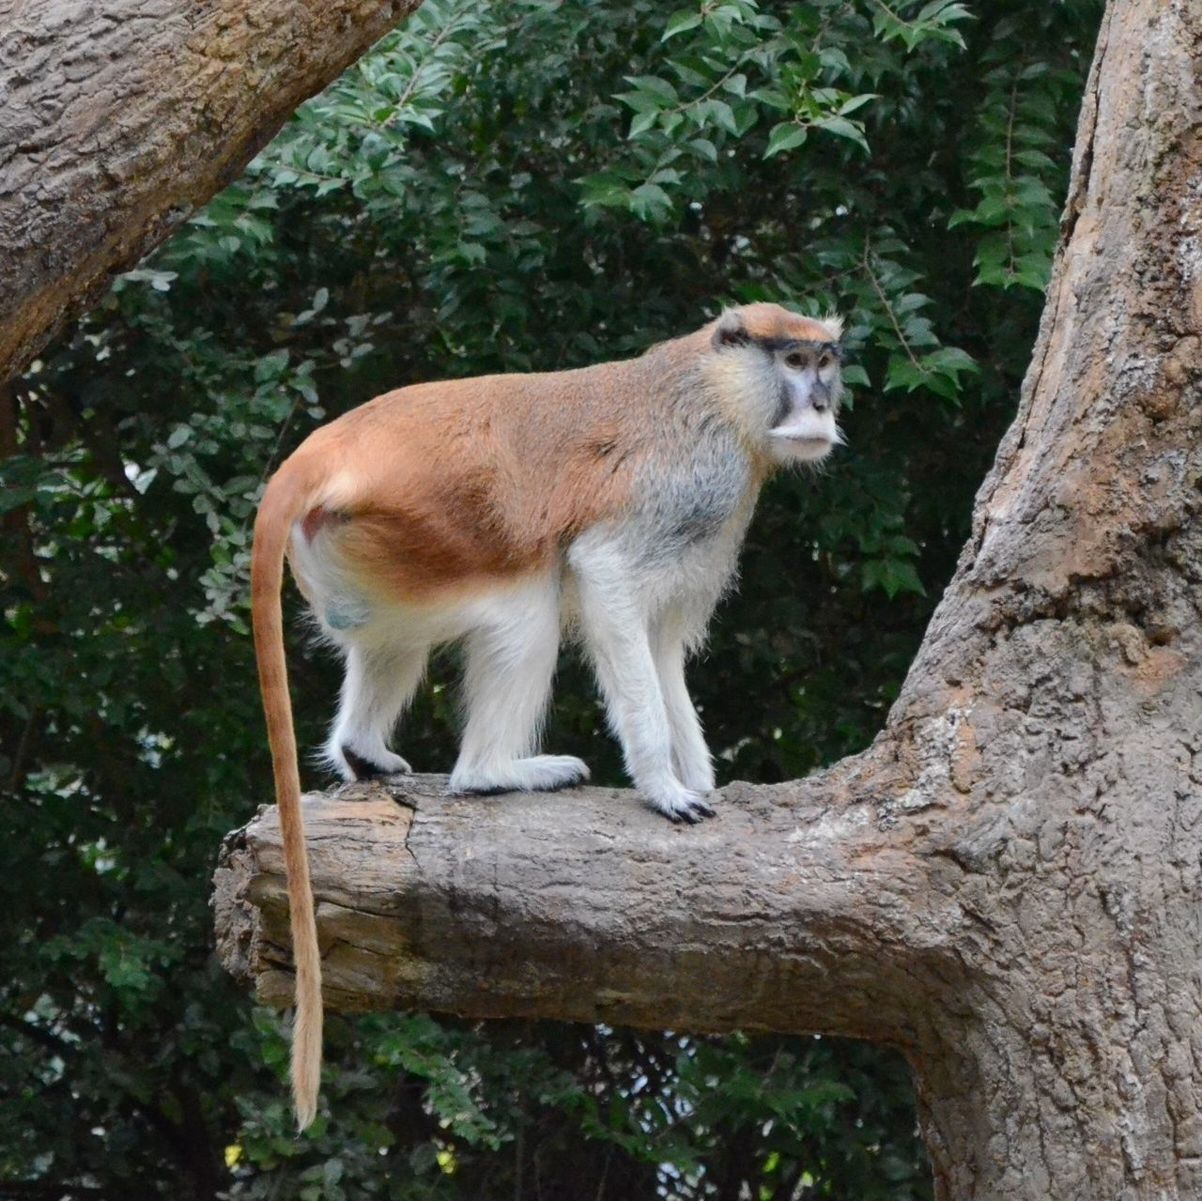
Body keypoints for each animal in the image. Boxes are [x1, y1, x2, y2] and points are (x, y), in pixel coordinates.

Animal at [248, 300, 846, 1125]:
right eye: (791, 362)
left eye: (825, 362)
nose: (820, 403)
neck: (717, 389)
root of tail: (322, 451)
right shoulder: (695, 479)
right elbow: (606, 577)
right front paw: (664, 787)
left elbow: (663, 644)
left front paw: (699, 776)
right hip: (427, 519)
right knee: (524, 605)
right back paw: (492, 772)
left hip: (365, 549)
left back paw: (364, 751)